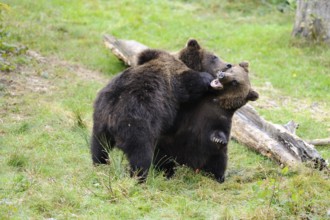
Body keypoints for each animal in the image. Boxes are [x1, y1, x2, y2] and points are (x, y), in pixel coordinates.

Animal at [90, 49, 222, 181]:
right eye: (214, 57)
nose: (226, 65)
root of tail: (111, 115)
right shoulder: (177, 83)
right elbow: (191, 84)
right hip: (137, 124)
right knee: (140, 155)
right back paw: (139, 177)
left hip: (100, 120)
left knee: (99, 147)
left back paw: (100, 165)